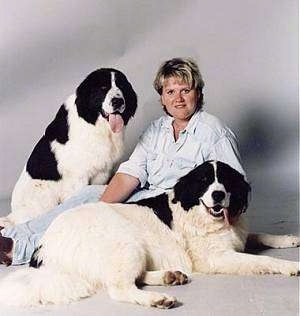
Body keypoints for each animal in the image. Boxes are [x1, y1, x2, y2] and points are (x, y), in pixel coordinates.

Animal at [0, 68, 137, 227]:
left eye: (122, 87)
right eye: (103, 88)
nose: (118, 101)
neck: (96, 125)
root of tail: (13, 215)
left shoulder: (102, 172)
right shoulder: (78, 177)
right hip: (44, 196)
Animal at [0, 160, 298, 308]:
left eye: (225, 180)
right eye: (204, 181)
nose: (218, 195)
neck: (200, 213)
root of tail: (46, 249)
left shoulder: (239, 235)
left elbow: (260, 235)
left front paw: (291, 239)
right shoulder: (216, 258)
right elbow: (262, 260)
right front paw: (290, 265)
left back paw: (170, 276)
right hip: (126, 243)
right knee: (119, 288)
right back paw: (158, 299)